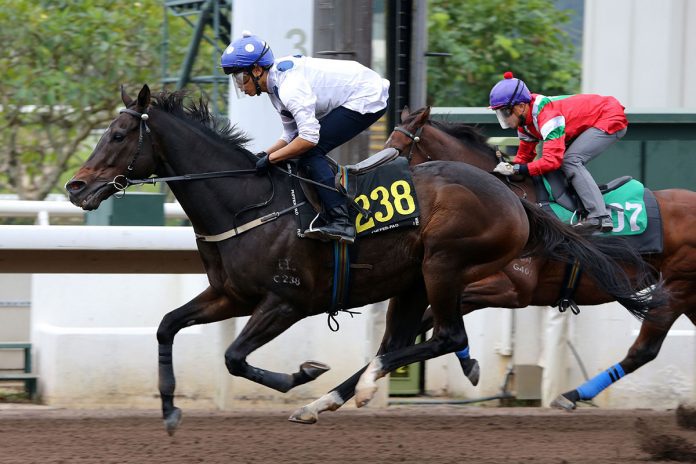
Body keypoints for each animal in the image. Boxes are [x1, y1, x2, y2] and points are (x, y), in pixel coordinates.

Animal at [66, 84, 664, 436]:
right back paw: (340, 395)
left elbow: (235, 357)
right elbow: (167, 326)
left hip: (444, 265)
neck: (246, 201)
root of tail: (514, 196)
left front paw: (304, 374)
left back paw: (356, 387)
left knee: (441, 334)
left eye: (119, 133)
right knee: (408, 336)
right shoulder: (229, 294)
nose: (76, 187)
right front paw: (169, 410)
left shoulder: (286, 300)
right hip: (414, 282)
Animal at [386, 105, 696, 410]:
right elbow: (432, 318)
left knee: (643, 351)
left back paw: (570, 395)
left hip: (677, 287)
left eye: (397, 149)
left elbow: (438, 315)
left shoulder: (515, 289)